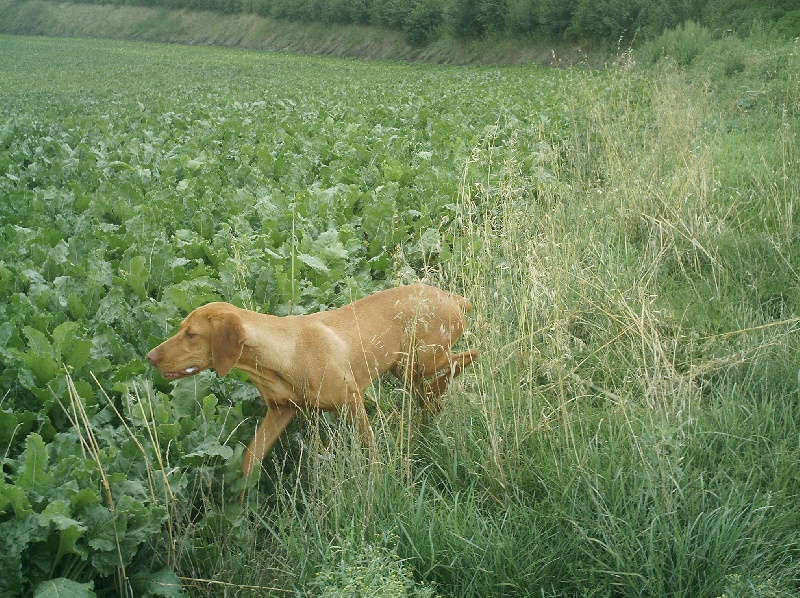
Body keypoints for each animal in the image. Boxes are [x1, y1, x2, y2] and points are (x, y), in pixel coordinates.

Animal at [147, 284, 478, 482]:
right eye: (180, 328)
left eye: (192, 334)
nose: (150, 357)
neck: (286, 352)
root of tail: (454, 298)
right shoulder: (281, 411)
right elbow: (249, 460)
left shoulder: (352, 401)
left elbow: (369, 450)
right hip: (406, 368)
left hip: (420, 361)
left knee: (469, 356)